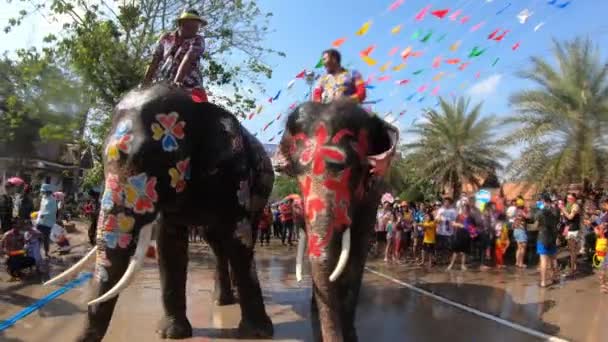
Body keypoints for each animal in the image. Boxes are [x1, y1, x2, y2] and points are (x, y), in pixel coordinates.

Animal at [45, 83, 276, 342]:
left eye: (150, 157)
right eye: (102, 159)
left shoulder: (235, 175)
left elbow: (239, 238)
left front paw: (257, 333)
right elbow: (169, 244)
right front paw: (171, 333)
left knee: (243, 236)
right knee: (216, 243)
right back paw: (222, 301)